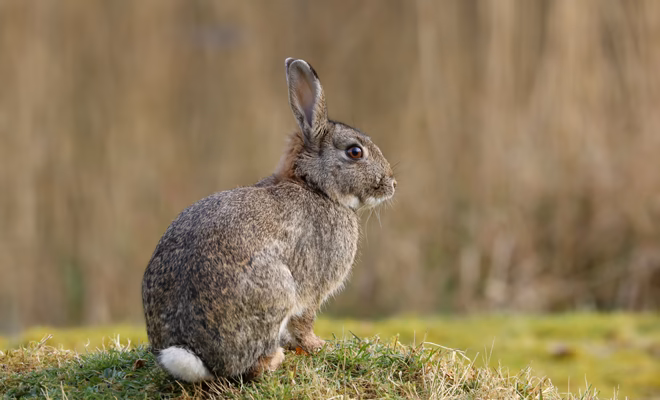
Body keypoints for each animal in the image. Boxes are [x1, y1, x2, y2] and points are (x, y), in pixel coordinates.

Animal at [141, 58, 397, 382]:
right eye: (355, 152)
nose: (392, 184)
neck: (316, 187)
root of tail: (195, 354)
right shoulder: (312, 289)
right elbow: (304, 322)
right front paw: (317, 345)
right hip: (278, 290)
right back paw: (274, 359)